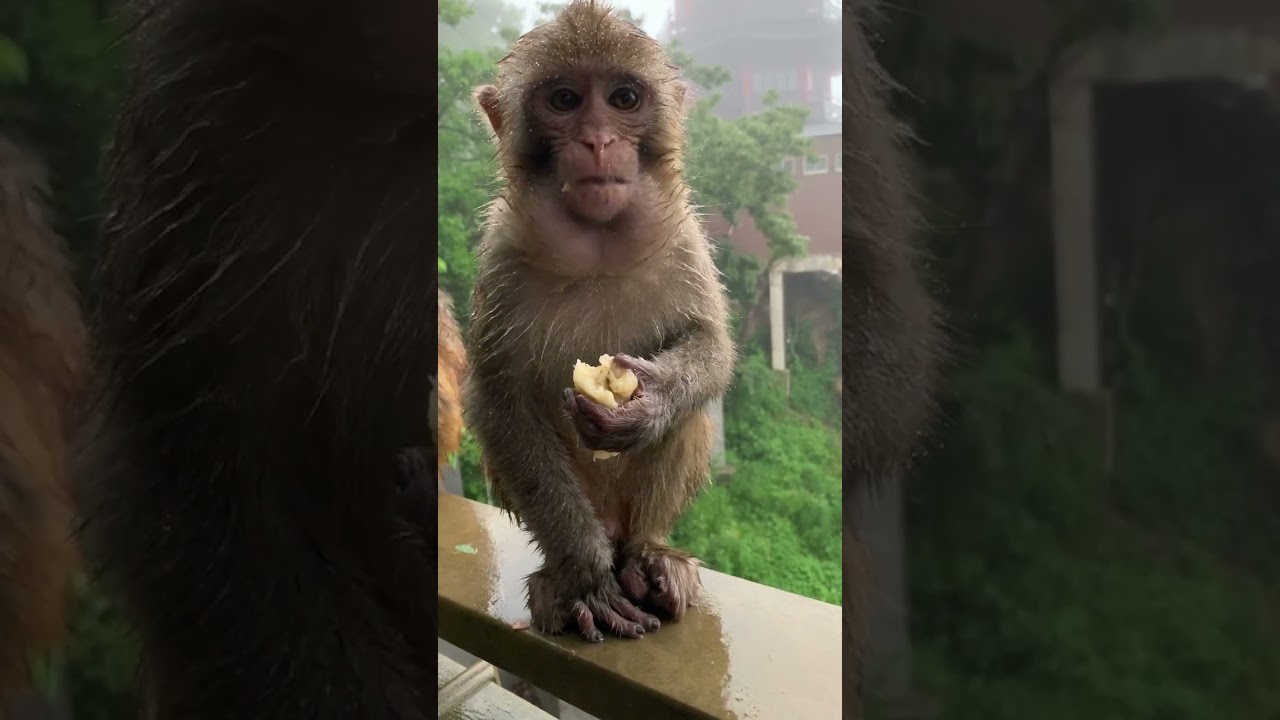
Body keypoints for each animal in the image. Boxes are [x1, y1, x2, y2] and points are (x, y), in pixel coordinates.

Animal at [464, 0, 736, 644]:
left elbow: (710, 345)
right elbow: (498, 398)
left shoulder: (684, 240)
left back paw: (649, 558)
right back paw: (566, 580)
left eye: (623, 99)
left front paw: (653, 400)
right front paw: (586, 575)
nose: (597, 140)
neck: (597, 250)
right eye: (564, 100)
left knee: (688, 422)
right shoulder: (500, 255)